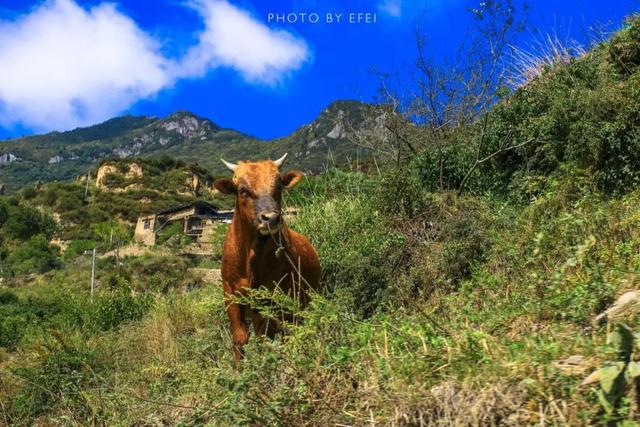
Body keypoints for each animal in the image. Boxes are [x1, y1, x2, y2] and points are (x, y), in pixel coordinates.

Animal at [214, 154, 320, 362]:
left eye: (278, 186)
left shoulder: (280, 295)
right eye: (242, 190)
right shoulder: (230, 294)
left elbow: (274, 335)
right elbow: (240, 338)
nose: (270, 218)